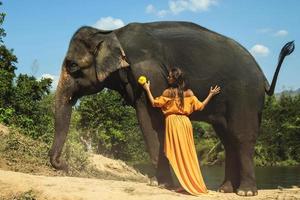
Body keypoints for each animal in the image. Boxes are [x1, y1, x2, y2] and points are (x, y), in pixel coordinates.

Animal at [48, 21, 294, 196]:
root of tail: (263, 76)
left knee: (241, 137)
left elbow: (149, 121)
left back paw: (245, 192)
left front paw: (160, 183)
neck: (110, 32)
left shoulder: (149, 71)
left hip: (245, 95)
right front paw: (160, 182)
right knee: (228, 139)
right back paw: (225, 190)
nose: (63, 164)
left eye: (73, 66)